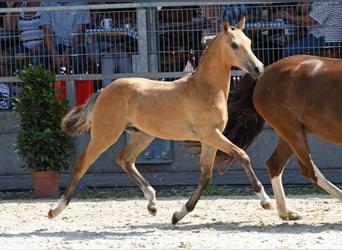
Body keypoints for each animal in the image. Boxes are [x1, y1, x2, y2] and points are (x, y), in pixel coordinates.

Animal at [48, 18, 272, 225]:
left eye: (249, 42)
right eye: (234, 45)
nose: (258, 68)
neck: (204, 89)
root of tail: (104, 90)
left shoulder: (209, 139)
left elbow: (206, 176)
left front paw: (178, 215)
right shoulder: (210, 134)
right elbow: (242, 155)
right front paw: (266, 201)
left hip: (142, 135)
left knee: (124, 159)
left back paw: (152, 203)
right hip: (105, 134)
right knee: (82, 163)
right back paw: (56, 209)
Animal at [195, 55, 342, 221]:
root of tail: (264, 74)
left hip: (291, 132)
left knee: (275, 164)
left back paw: (286, 212)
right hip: (291, 130)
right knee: (307, 169)